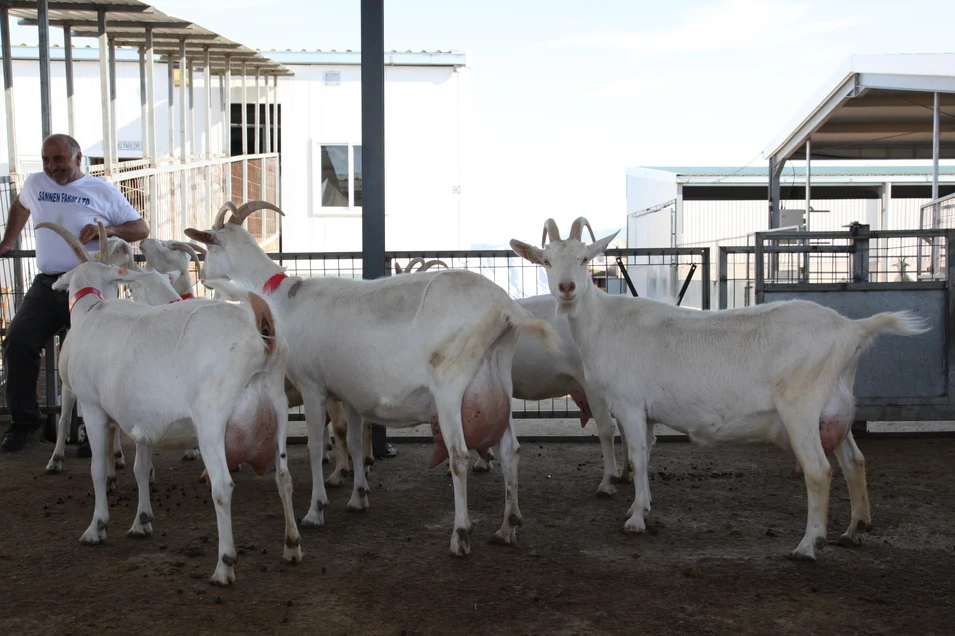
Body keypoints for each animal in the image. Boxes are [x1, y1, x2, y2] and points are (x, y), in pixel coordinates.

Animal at [39, 220, 301, 585]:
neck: (91, 311)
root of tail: (262, 327)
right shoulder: (142, 419)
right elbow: (139, 468)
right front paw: (141, 522)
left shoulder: (92, 407)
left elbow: (97, 469)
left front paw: (96, 527)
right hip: (277, 407)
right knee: (285, 477)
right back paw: (292, 545)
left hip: (211, 419)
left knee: (223, 485)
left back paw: (224, 565)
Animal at [185, 200, 562, 556]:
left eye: (208, 244)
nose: (202, 277)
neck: (283, 298)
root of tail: (503, 307)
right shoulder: (349, 394)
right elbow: (352, 443)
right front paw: (358, 496)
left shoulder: (313, 386)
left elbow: (315, 446)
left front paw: (315, 510)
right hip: (498, 381)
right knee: (510, 450)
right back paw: (507, 527)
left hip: (451, 386)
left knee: (458, 456)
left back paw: (460, 535)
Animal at [511, 216, 929, 560]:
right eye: (546, 261)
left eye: (584, 259)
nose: (566, 287)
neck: (605, 322)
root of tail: (852, 330)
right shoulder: (647, 411)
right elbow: (645, 452)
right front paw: (639, 507)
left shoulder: (628, 403)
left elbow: (639, 456)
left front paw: (635, 520)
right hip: (836, 408)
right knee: (854, 461)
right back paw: (855, 529)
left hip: (801, 407)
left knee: (818, 470)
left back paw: (808, 545)